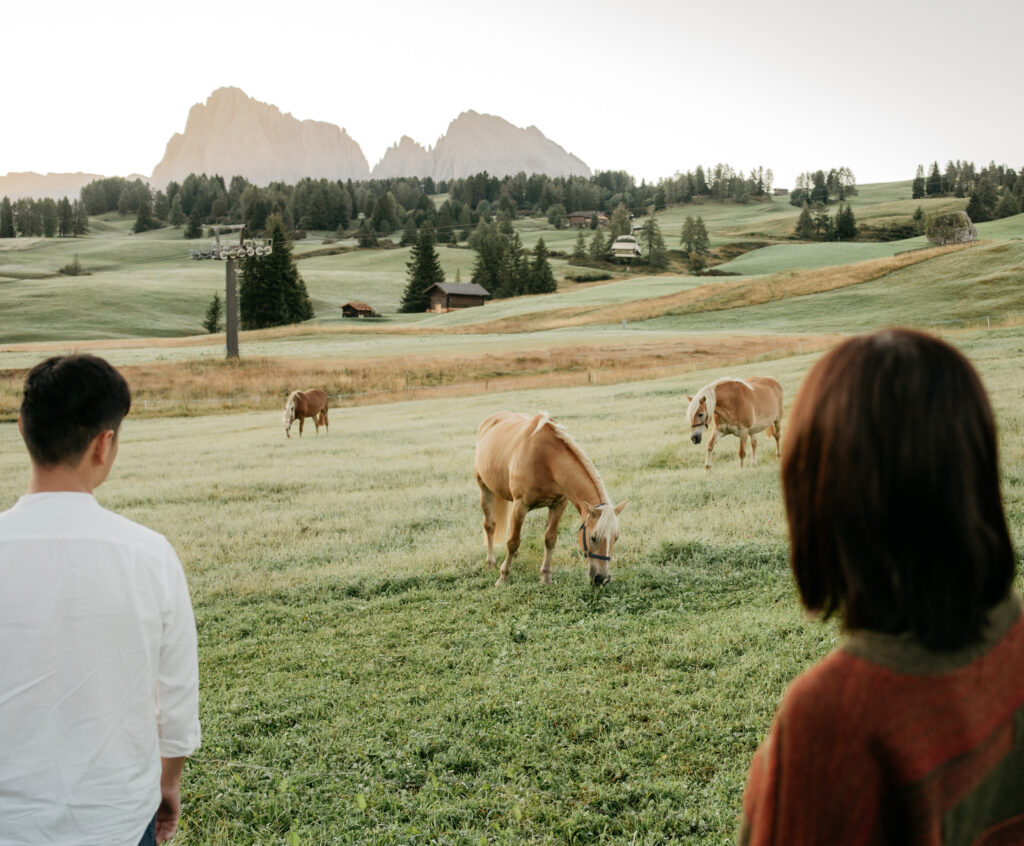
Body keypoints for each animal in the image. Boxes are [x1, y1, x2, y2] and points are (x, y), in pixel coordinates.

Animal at [471, 409, 622, 581]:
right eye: (593, 537)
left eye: (616, 538)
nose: (602, 578)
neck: (547, 459)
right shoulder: (520, 506)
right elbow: (513, 542)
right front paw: (503, 577)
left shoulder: (558, 505)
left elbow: (550, 539)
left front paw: (545, 577)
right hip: (484, 488)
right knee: (490, 526)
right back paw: (490, 562)